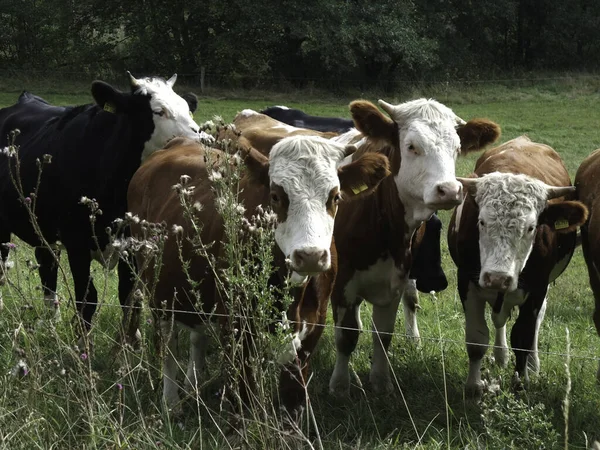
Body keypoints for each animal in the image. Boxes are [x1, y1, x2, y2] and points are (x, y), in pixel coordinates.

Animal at [0, 72, 202, 340]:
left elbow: (128, 296)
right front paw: (82, 342)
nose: (201, 141)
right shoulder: (77, 243)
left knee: (47, 268)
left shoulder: (132, 244)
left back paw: (52, 322)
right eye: (159, 111)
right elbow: (87, 298)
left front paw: (130, 341)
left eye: (188, 109)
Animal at [126, 134, 390, 412]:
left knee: (197, 337)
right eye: (275, 196)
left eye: (336, 197)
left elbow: (293, 398)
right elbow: (245, 398)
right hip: (157, 288)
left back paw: (192, 386)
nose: (310, 255)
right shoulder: (237, 327)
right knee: (167, 344)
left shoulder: (312, 329)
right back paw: (171, 402)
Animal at [448, 135, 588, 396]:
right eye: (481, 221)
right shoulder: (466, 282)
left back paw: (532, 364)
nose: (497, 277)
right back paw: (501, 355)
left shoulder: (537, 288)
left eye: (532, 227)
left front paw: (521, 383)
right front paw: (474, 387)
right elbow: (476, 338)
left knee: (536, 322)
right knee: (498, 321)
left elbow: (523, 336)